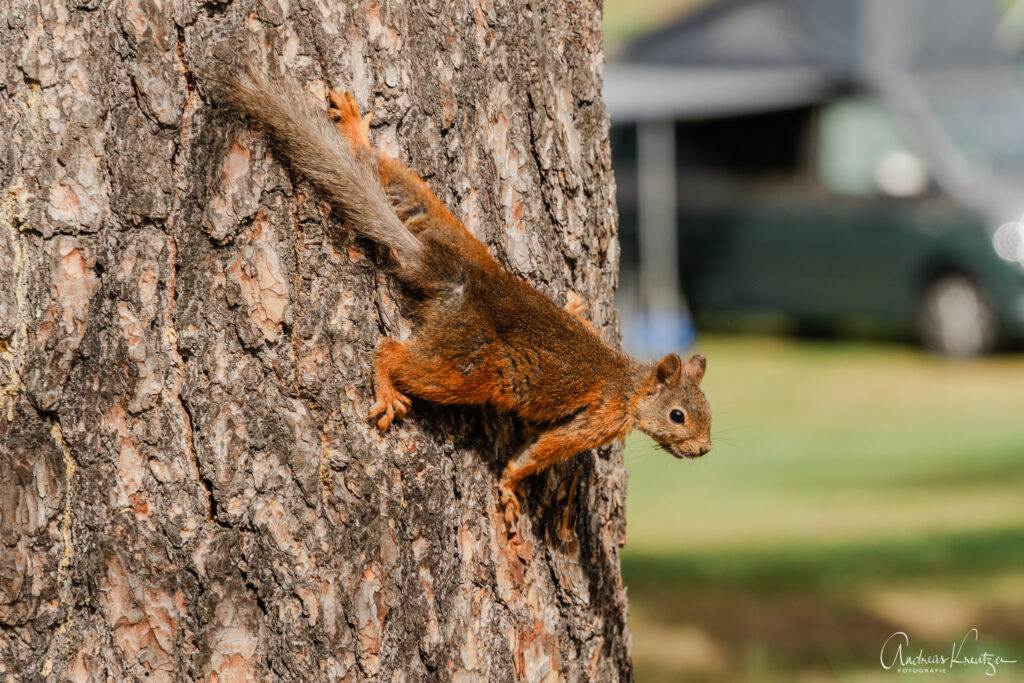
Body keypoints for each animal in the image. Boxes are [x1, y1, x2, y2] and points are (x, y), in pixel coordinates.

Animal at [220, 64, 712, 532]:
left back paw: (356, 131)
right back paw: (388, 386)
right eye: (678, 416)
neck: (630, 385)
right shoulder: (600, 417)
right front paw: (511, 486)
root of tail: (458, 280)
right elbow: (541, 451)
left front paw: (575, 306)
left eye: (707, 411)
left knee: (385, 171)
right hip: (467, 369)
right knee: (392, 352)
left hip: (444, 226)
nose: (705, 449)